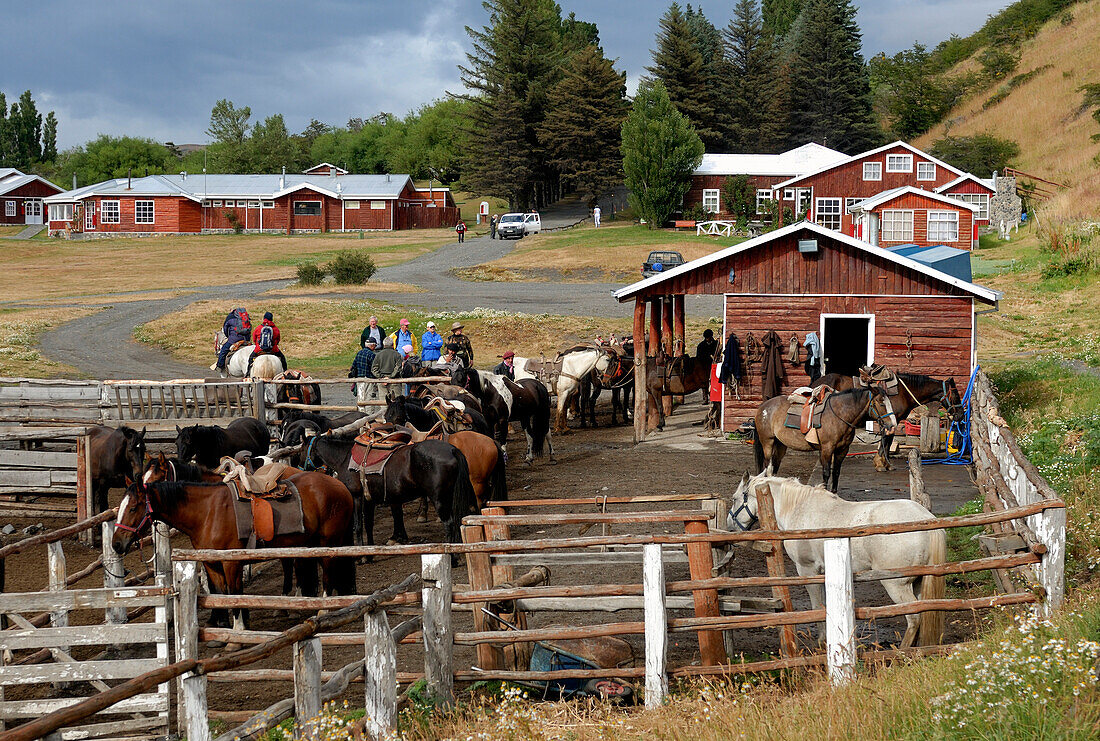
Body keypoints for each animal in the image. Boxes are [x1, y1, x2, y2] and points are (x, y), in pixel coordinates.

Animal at [111, 472, 354, 642]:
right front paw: (221, 632)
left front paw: (238, 633)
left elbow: (234, 594)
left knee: (329, 576)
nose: (116, 543)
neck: (207, 512)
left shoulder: (231, 563)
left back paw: (323, 610)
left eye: (133, 507)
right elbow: (220, 594)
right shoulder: (212, 564)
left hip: (327, 545)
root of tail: (341, 486)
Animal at [730, 472, 946, 646]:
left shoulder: (807, 570)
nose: (730, 527)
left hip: (896, 585)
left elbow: (817, 606)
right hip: (918, 583)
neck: (799, 509)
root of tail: (926, 520)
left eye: (734, 499)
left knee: (914, 618)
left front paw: (821, 641)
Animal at [748, 384, 893, 492]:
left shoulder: (842, 450)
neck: (839, 415)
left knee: (774, 467)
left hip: (780, 445)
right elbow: (826, 472)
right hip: (768, 442)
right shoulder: (827, 449)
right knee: (767, 467)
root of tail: (762, 407)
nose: (892, 425)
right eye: (881, 403)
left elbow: (836, 472)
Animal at [818, 371, 963, 470]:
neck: (903, 392)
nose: (961, 415)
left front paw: (885, 463)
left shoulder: (892, 420)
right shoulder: (891, 420)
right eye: (956, 395)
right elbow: (887, 440)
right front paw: (881, 463)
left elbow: (888, 441)